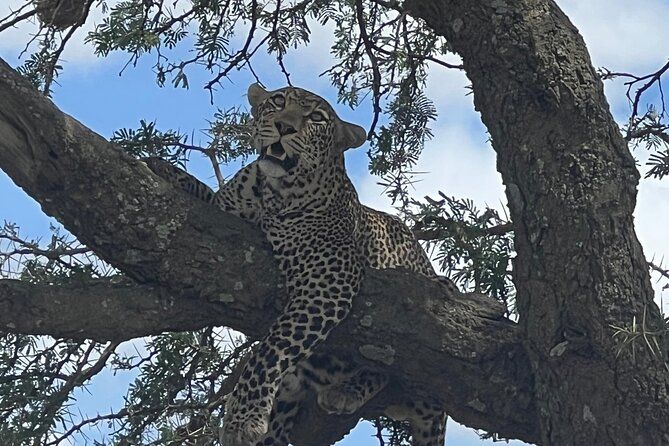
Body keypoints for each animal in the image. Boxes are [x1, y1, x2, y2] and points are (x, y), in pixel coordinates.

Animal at [144, 84, 454, 446]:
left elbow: (271, 347)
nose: (284, 127)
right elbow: (206, 194)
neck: (271, 193)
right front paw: (162, 168)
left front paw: (243, 417)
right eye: (278, 102)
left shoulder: (331, 279)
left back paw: (347, 390)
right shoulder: (226, 212)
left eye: (316, 118)